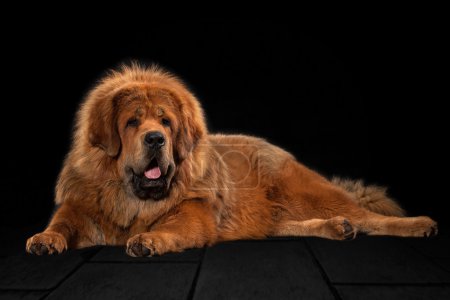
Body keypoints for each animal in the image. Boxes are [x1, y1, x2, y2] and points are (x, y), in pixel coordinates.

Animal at [26, 64, 438, 256]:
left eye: (165, 121)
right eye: (132, 122)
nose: (156, 138)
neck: (132, 198)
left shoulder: (194, 214)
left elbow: (172, 227)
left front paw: (149, 240)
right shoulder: (79, 207)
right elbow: (62, 224)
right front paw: (45, 239)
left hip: (305, 191)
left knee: (369, 217)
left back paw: (419, 224)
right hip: (274, 214)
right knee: (288, 226)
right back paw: (337, 228)